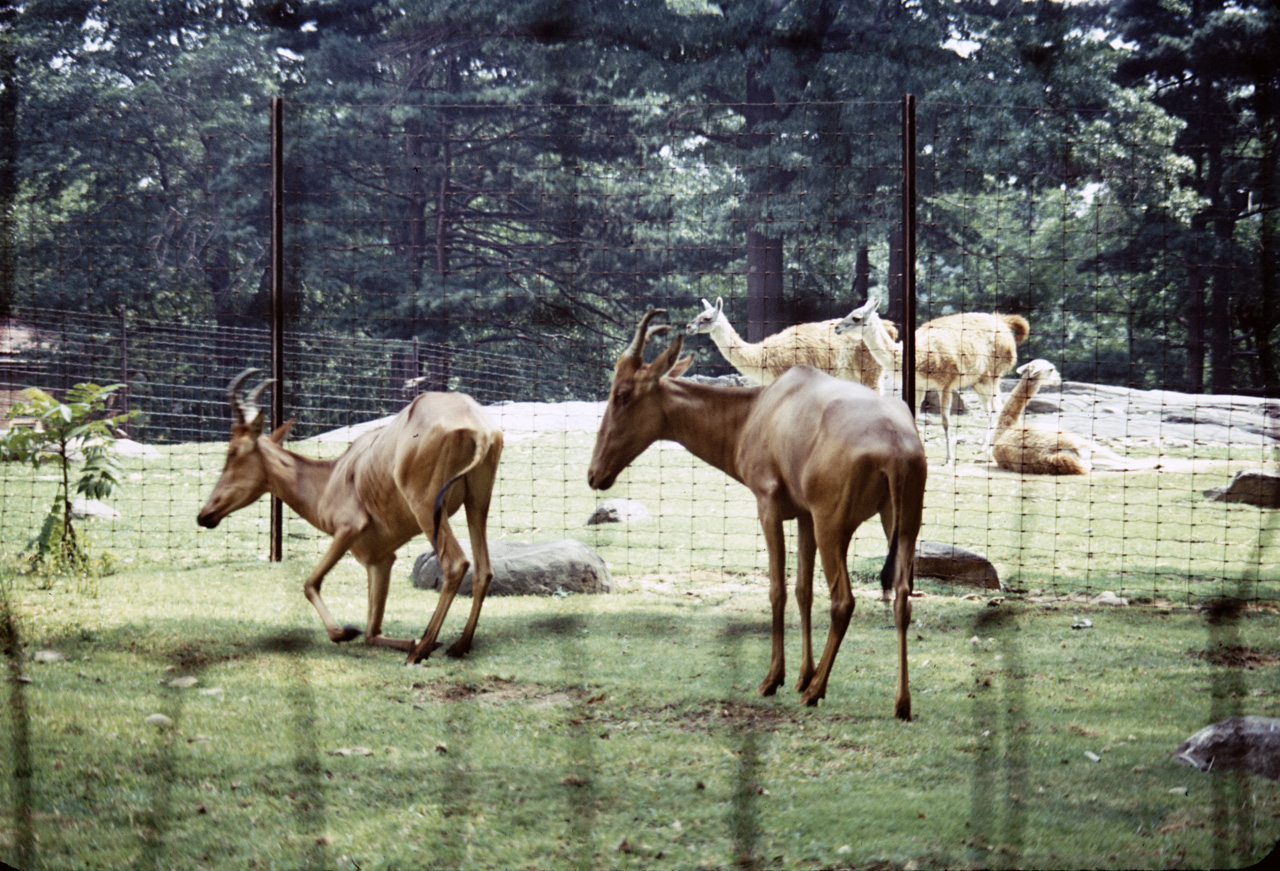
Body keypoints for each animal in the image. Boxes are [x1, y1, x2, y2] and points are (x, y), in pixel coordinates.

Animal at [197, 366, 501, 660]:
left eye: (233, 451)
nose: (204, 515)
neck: (333, 476)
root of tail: (478, 426)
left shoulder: (349, 529)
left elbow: (310, 584)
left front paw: (345, 632)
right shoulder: (380, 561)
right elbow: (372, 634)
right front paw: (409, 640)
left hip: (427, 508)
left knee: (456, 563)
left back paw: (420, 652)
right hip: (477, 504)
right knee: (484, 570)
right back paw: (457, 646)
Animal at [588, 309, 931, 717]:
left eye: (622, 393)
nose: (595, 475)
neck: (760, 409)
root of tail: (896, 443)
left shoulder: (769, 507)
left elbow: (777, 590)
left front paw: (774, 680)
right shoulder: (805, 516)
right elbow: (802, 590)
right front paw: (800, 675)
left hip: (834, 528)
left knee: (843, 600)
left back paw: (815, 692)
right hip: (901, 524)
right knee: (902, 598)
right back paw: (900, 703)